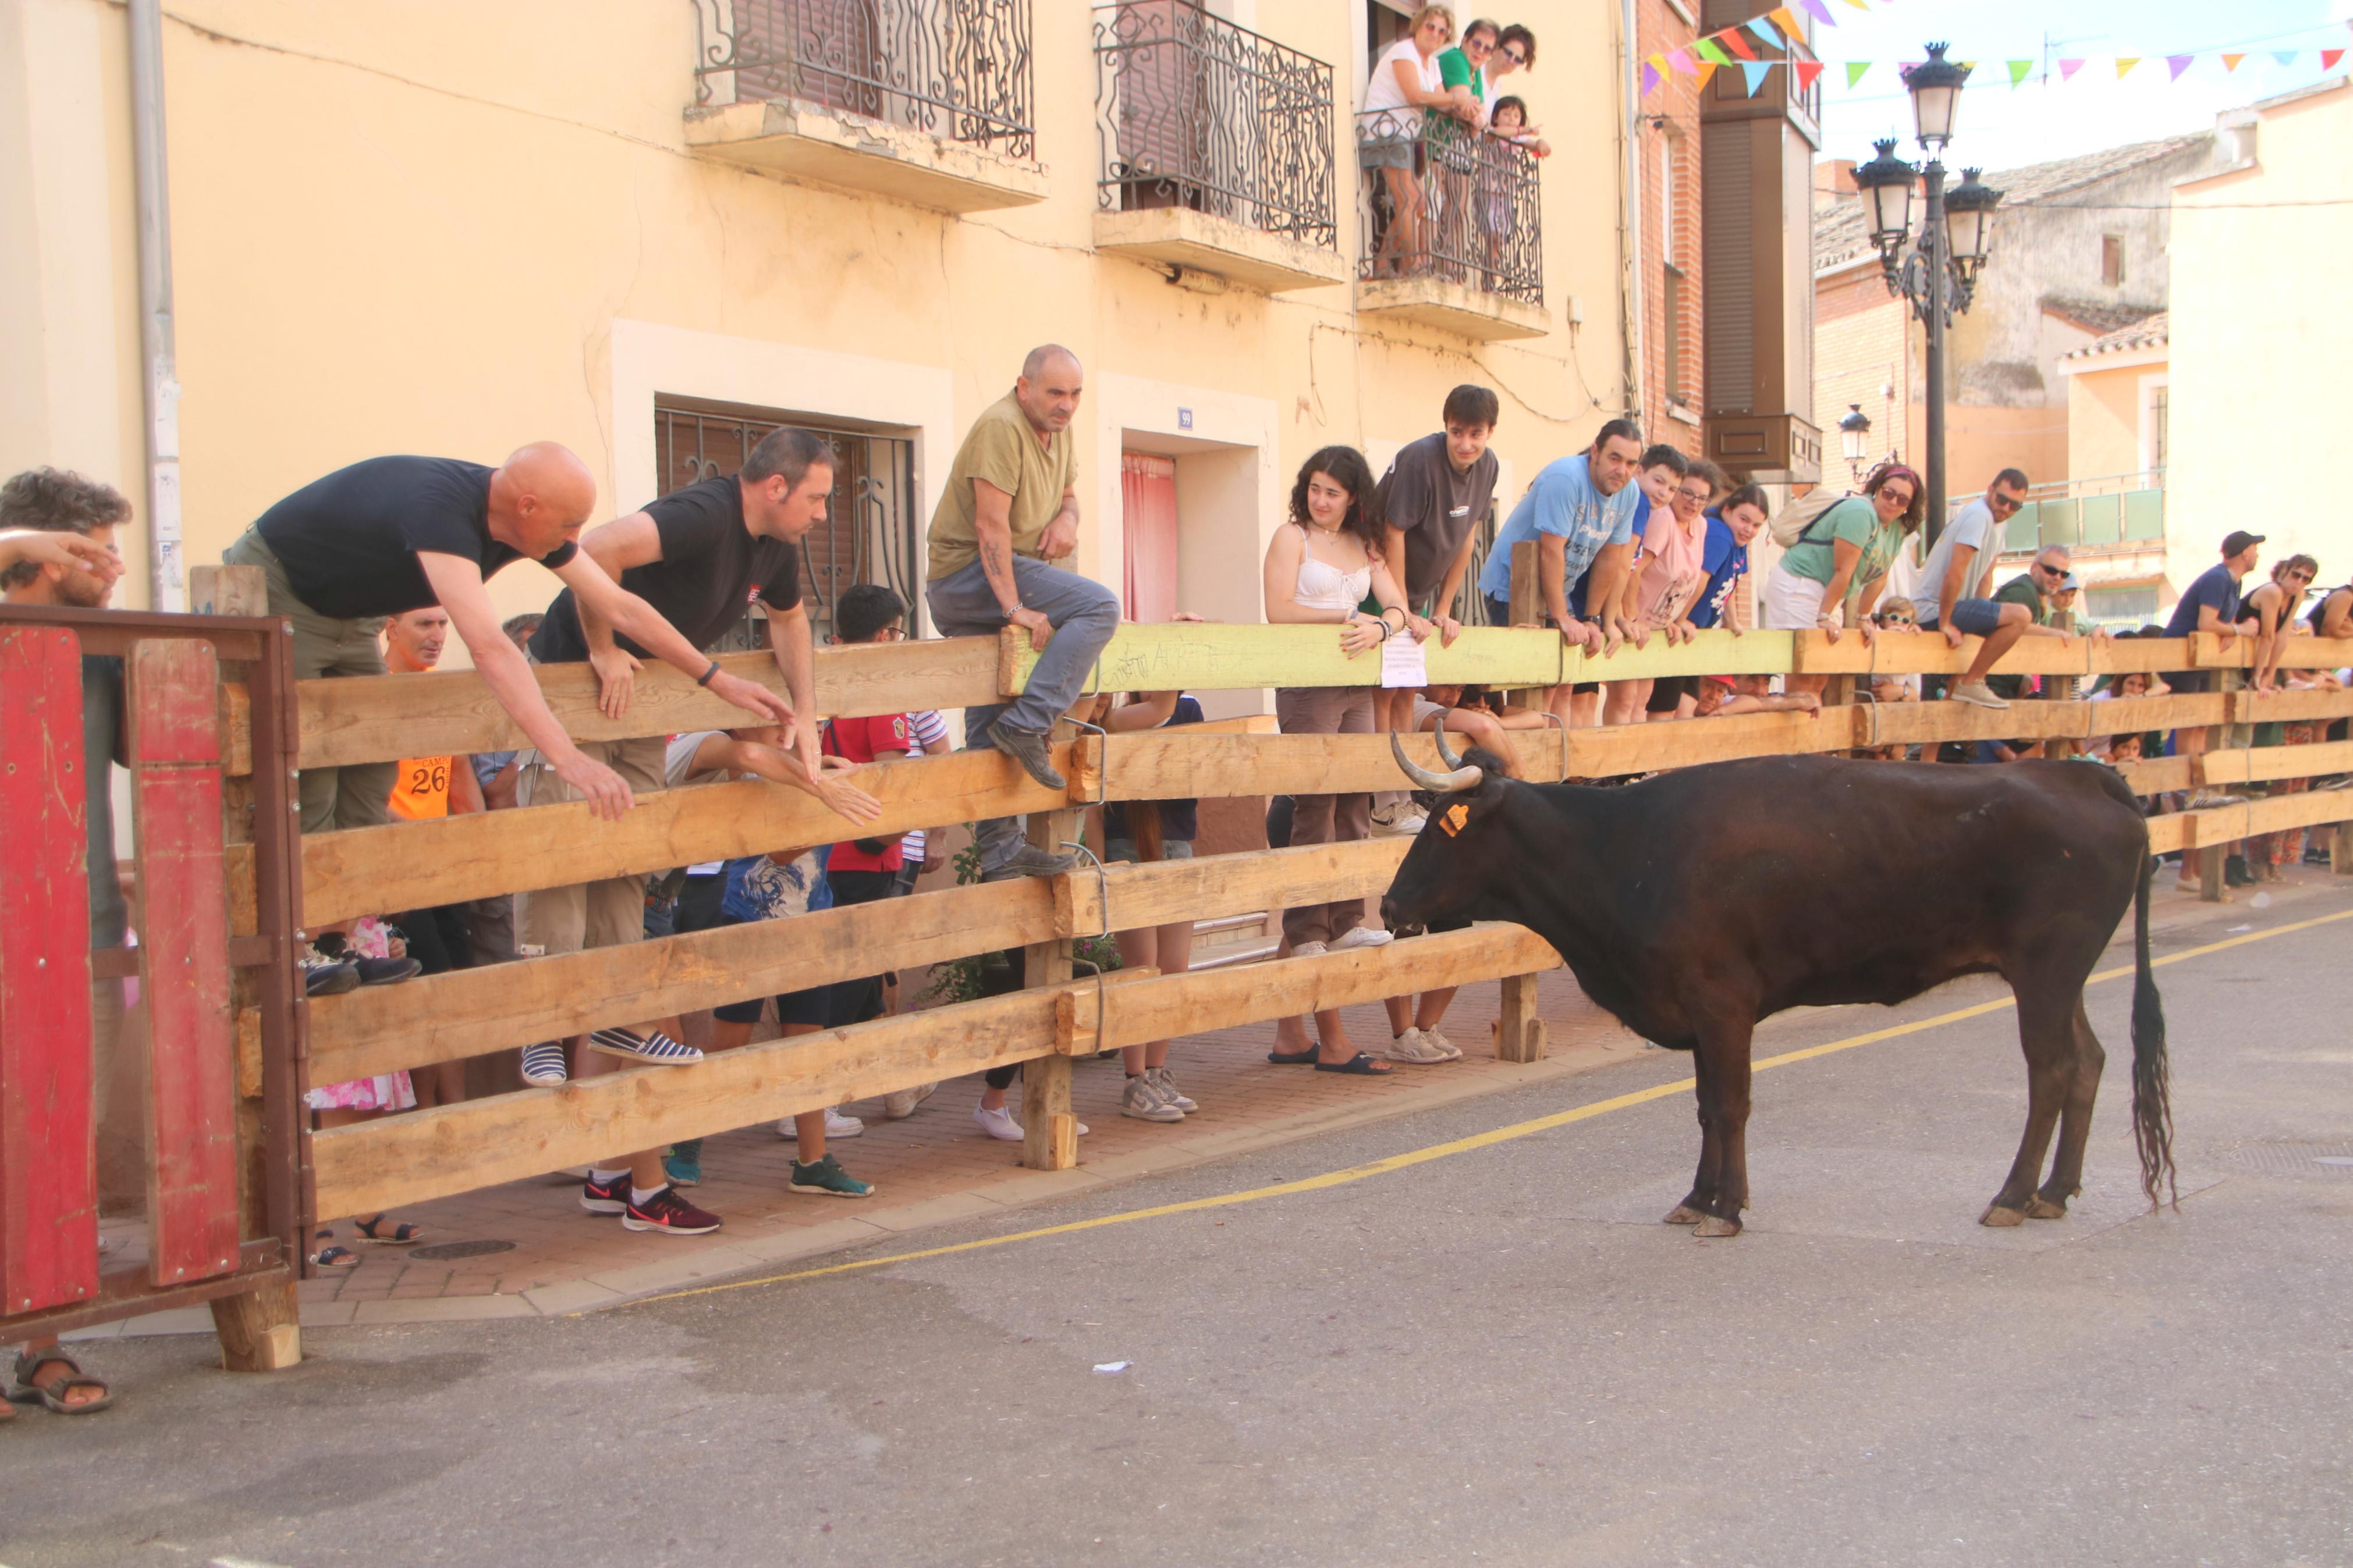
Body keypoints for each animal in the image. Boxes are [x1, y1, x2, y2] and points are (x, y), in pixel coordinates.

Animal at [1383, 738, 2174, 1241]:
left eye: (1443, 827)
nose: (1389, 906)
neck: (1625, 850)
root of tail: (2080, 774)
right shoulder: (1700, 1017)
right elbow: (1705, 1108)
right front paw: (1698, 1196)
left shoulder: (1722, 1006)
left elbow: (1728, 1106)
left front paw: (1723, 1207)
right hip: (2060, 978)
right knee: (2088, 1061)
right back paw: (2053, 1192)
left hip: (2044, 971)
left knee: (2051, 1071)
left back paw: (2012, 1194)